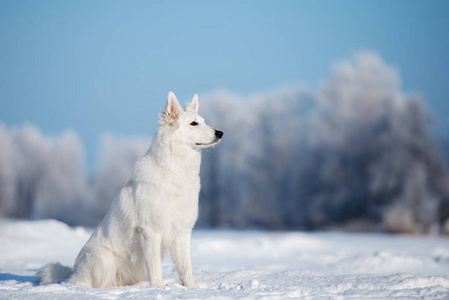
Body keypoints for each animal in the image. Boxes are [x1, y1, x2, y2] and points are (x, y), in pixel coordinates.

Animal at [36, 92, 222, 288]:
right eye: (193, 123)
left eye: (203, 121)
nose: (220, 133)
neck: (174, 171)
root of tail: (74, 273)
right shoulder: (150, 232)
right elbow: (156, 270)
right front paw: (159, 288)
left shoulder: (182, 232)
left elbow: (186, 268)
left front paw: (192, 288)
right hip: (102, 258)